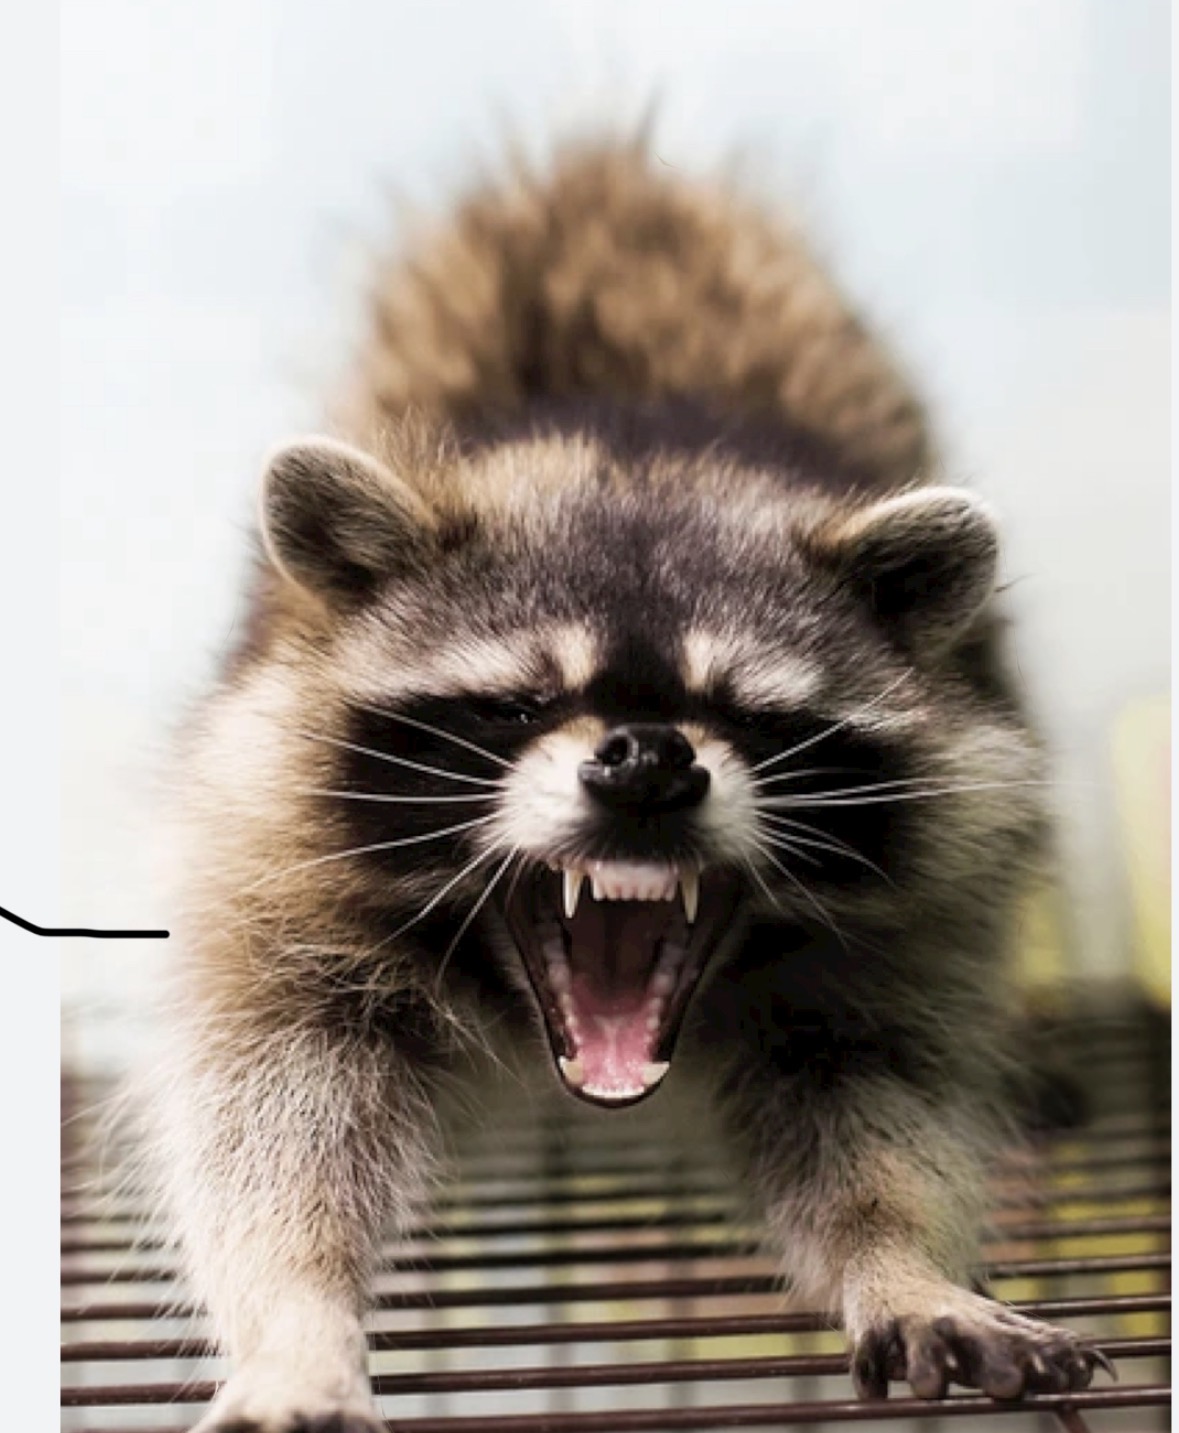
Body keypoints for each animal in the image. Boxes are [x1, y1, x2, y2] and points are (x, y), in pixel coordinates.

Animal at [153, 142, 1110, 1433]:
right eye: (518, 705)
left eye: (754, 716)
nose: (649, 757)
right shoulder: (276, 878)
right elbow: (274, 1117)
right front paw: (297, 1317)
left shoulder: (910, 932)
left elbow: (875, 1097)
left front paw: (901, 1255)